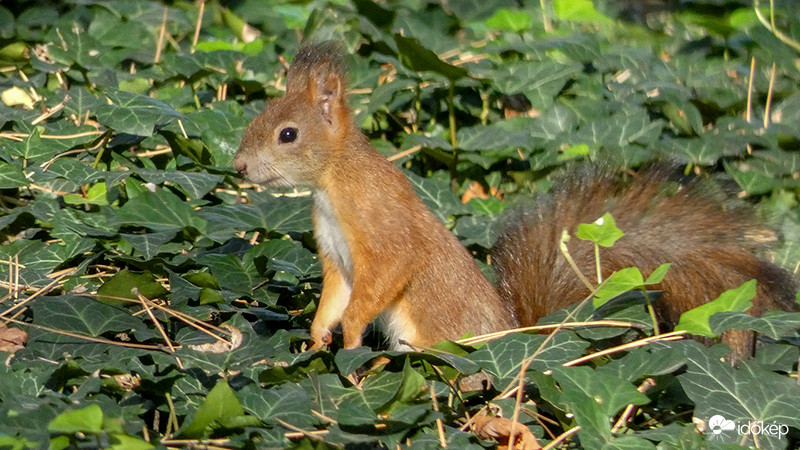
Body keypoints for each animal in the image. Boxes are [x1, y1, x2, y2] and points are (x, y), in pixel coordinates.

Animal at [234, 43, 796, 358]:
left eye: (287, 134)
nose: (237, 167)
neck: (333, 182)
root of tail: (513, 338)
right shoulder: (336, 256)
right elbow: (334, 296)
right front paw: (316, 338)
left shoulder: (381, 230)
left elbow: (387, 275)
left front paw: (349, 338)